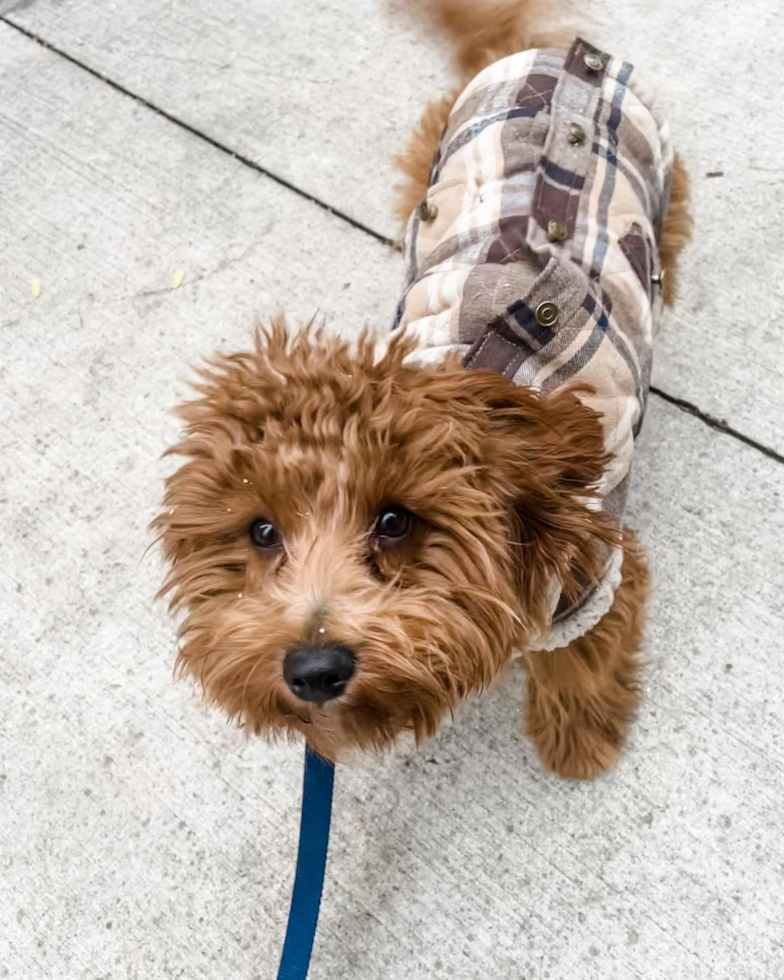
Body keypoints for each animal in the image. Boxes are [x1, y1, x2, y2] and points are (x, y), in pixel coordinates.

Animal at [155, 1, 692, 780]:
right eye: (261, 531)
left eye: (394, 521)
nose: (313, 670)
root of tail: (534, 55)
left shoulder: (594, 574)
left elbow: (581, 663)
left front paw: (580, 741)